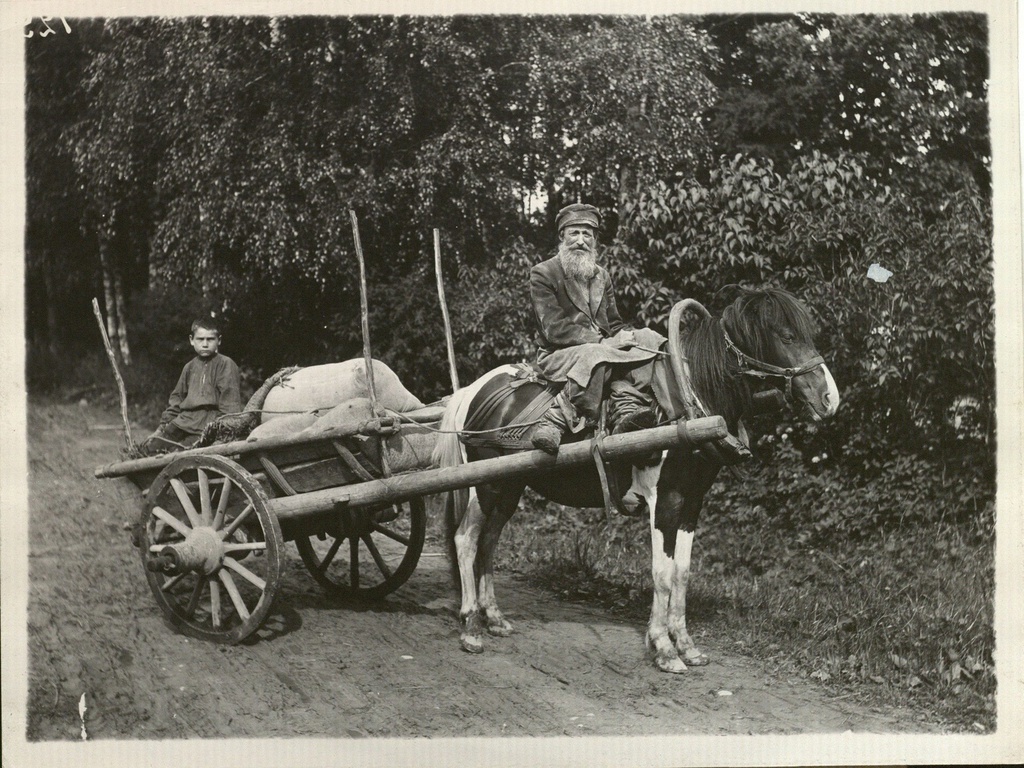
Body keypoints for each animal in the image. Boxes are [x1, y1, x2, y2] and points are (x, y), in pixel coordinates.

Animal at [432, 288, 839, 671]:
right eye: (787, 336)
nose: (829, 399)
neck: (685, 403)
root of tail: (473, 391)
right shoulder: (665, 500)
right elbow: (661, 573)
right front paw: (663, 649)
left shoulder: (693, 501)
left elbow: (682, 574)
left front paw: (686, 645)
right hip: (486, 484)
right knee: (466, 539)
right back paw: (471, 627)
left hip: (510, 485)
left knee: (489, 540)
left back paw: (494, 618)